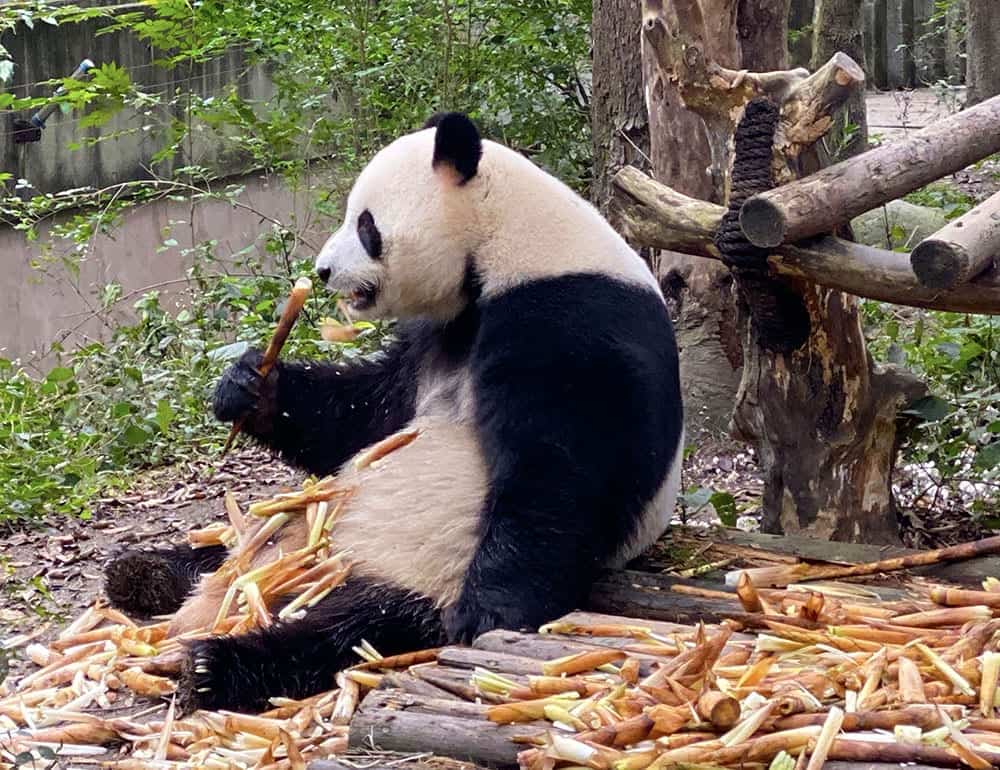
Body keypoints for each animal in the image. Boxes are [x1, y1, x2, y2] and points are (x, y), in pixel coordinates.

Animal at [103, 114, 680, 712]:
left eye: (366, 226)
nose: (322, 271)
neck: (503, 242)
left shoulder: (571, 319)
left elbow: (560, 471)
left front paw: (490, 612)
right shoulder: (438, 334)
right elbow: (370, 415)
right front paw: (249, 386)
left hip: (416, 567)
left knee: (358, 627)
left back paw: (214, 664)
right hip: (294, 532)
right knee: (232, 548)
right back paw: (143, 573)